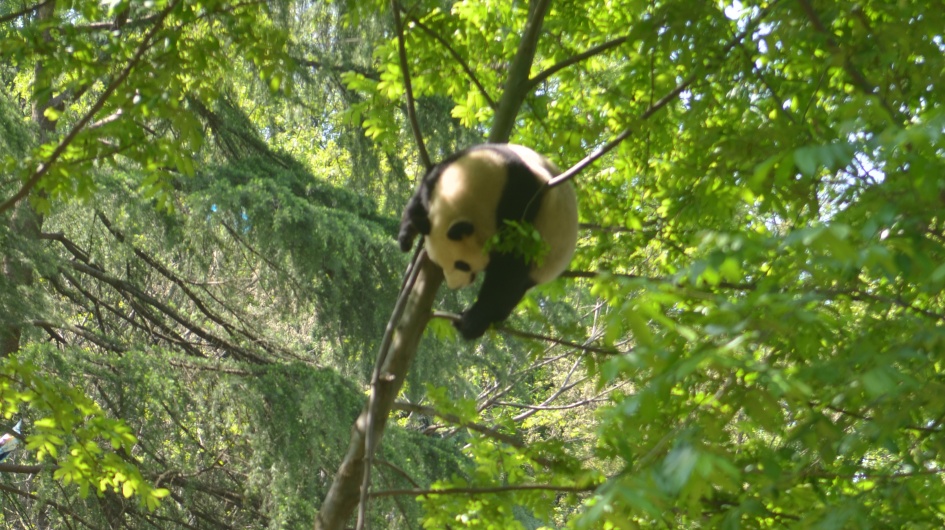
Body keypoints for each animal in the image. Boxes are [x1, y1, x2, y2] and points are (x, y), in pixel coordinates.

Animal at [397, 144, 578, 340]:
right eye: (439, 263)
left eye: (462, 265)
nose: (455, 285)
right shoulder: (444, 171)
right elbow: (418, 201)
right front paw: (407, 236)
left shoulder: (522, 207)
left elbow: (508, 271)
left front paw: (472, 321)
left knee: (514, 288)